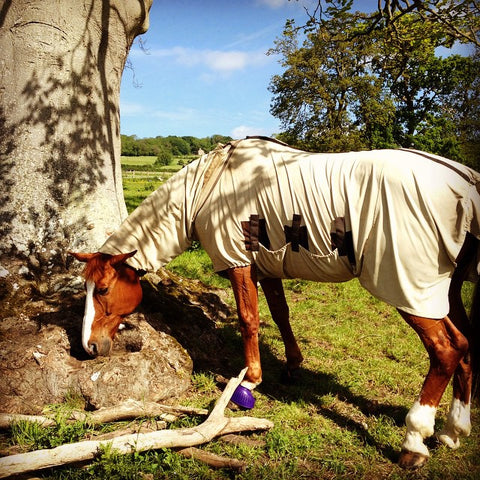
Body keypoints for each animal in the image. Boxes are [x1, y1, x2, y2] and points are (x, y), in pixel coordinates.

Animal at [70, 137, 480, 470]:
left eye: (102, 289)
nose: (88, 347)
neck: (212, 186)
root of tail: (462, 183)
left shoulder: (239, 263)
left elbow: (249, 319)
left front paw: (250, 380)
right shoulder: (267, 268)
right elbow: (281, 315)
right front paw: (291, 365)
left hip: (410, 288)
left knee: (445, 349)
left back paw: (415, 441)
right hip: (445, 292)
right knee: (465, 346)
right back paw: (454, 430)